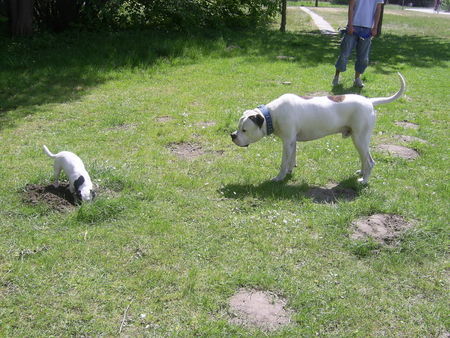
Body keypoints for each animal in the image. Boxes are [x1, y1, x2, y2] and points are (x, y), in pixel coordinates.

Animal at [230, 71, 406, 182]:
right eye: (238, 128)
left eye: (244, 130)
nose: (233, 135)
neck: (271, 115)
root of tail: (369, 101)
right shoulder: (292, 142)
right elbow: (291, 159)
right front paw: (289, 172)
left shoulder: (287, 142)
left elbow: (283, 162)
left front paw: (279, 178)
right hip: (360, 140)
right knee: (364, 159)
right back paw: (361, 173)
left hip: (359, 139)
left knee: (370, 161)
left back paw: (364, 181)